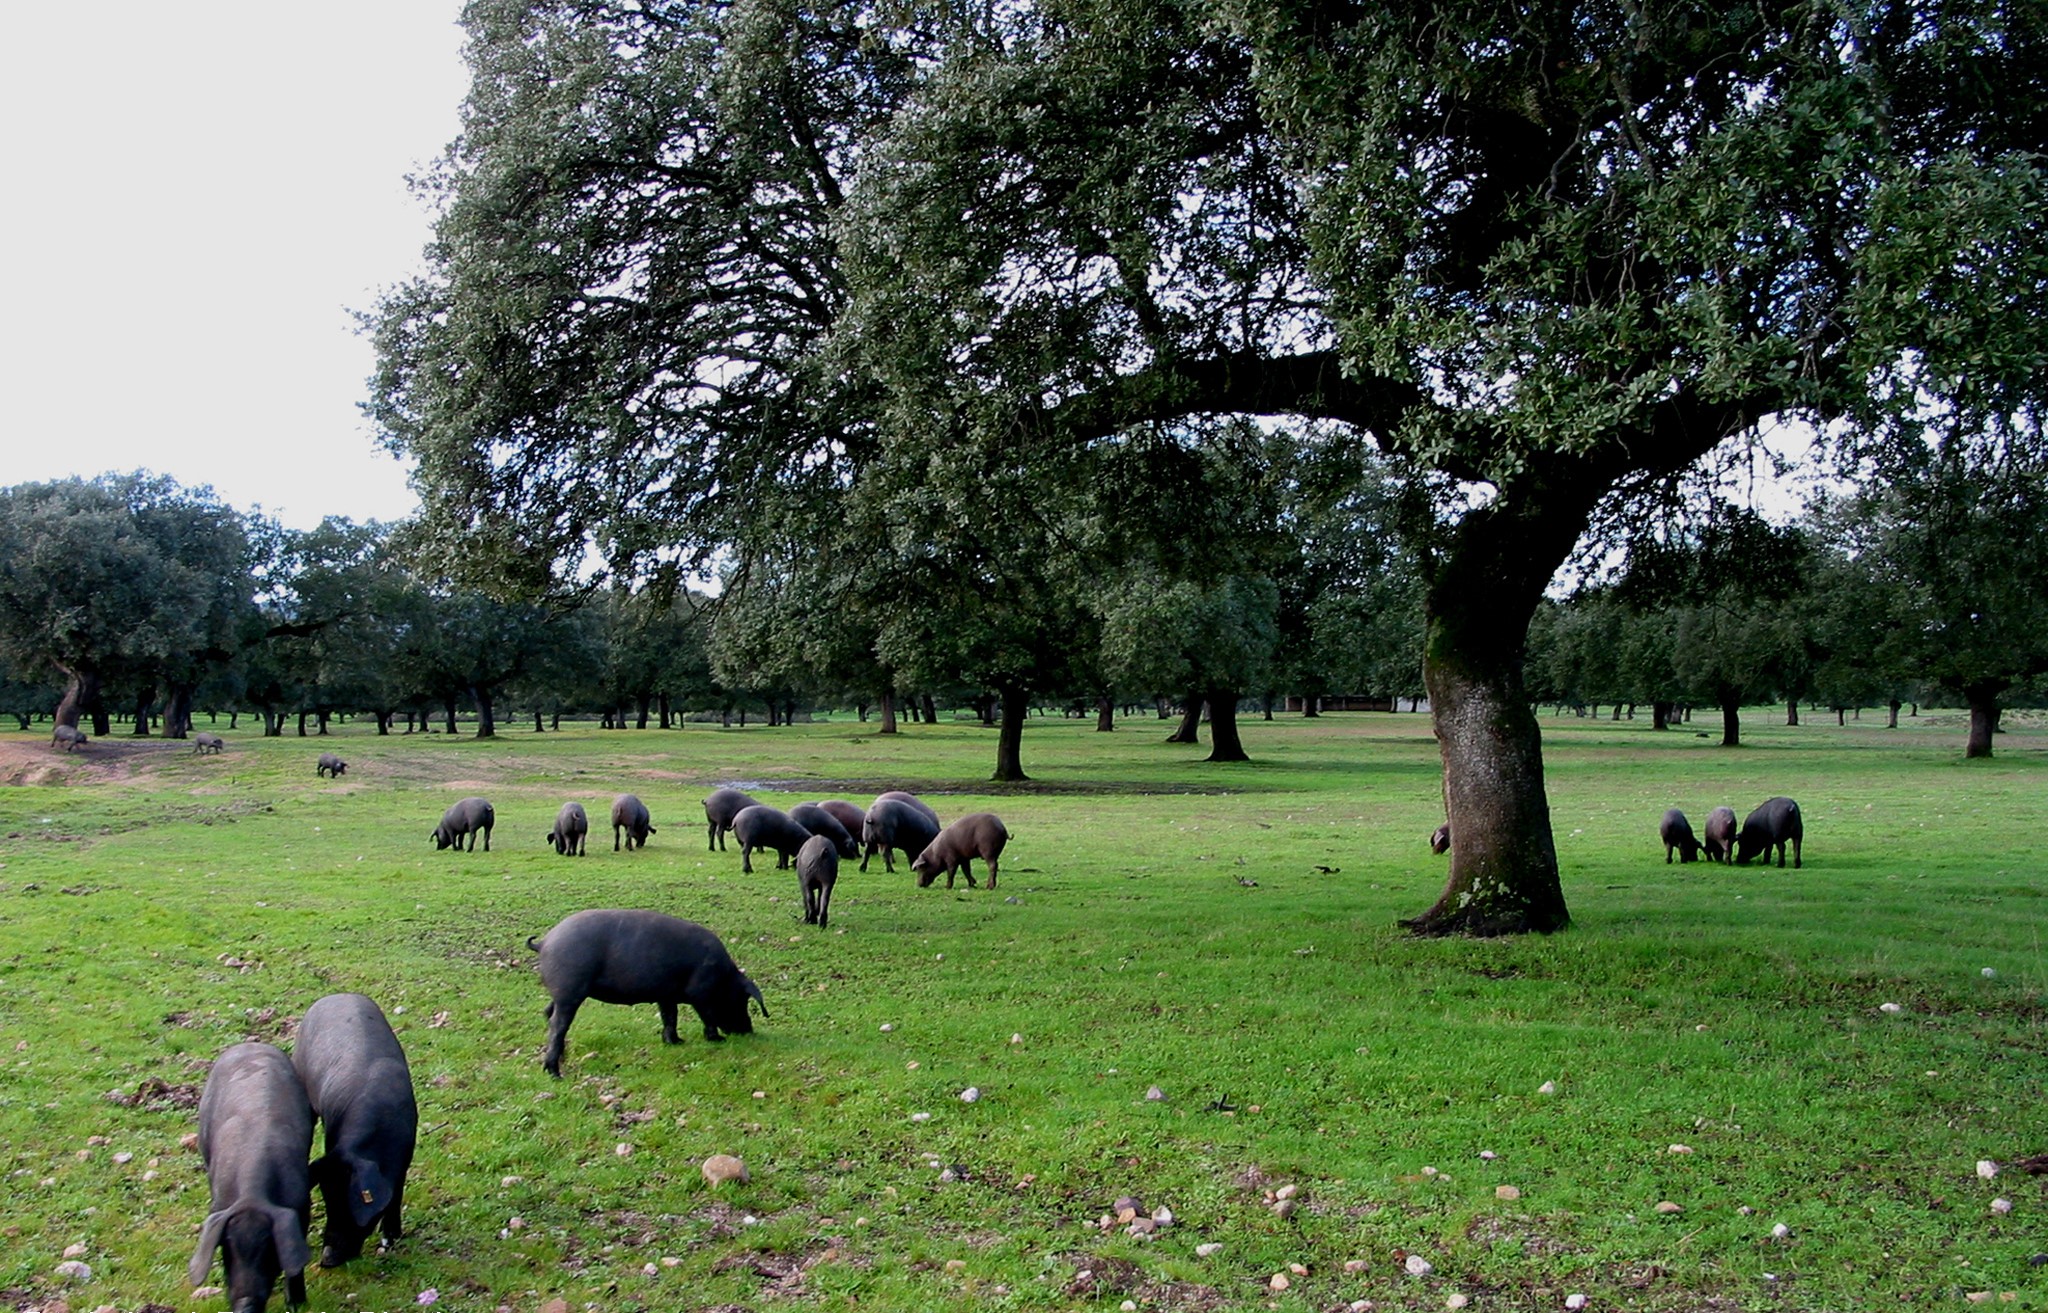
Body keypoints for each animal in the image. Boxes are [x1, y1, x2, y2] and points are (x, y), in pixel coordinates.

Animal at [192, 1044, 313, 1310]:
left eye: (268, 1249)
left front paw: (296, 1304)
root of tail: (249, 1044)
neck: (252, 1194)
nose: (245, 1305)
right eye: (226, 1247)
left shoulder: (301, 1205)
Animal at [288, 999, 415, 1261]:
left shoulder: (406, 1155)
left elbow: (396, 1195)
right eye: (327, 1198)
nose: (327, 1258)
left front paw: (391, 1239)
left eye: (349, 1204)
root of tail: (334, 996)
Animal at [528, 909, 770, 1073]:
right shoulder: (700, 993)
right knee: (558, 1024)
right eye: (741, 1000)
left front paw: (676, 1042)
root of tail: (545, 942)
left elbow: (670, 1017)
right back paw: (555, 1072)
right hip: (569, 991)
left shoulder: (666, 995)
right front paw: (717, 1039)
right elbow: (707, 1016)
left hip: (562, 993)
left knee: (547, 1012)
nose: (749, 1030)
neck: (724, 977)